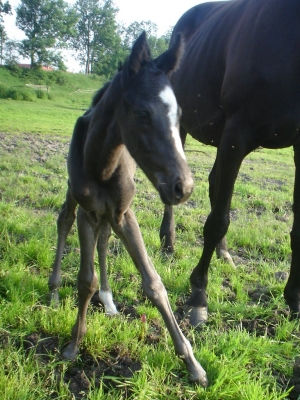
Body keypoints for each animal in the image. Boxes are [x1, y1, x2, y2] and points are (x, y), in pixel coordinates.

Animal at [48, 32, 207, 386]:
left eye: (179, 115)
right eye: (143, 114)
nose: (184, 187)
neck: (103, 165)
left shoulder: (123, 213)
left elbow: (154, 285)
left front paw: (193, 364)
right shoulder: (88, 212)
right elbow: (85, 279)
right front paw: (73, 345)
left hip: (111, 215)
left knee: (105, 239)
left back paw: (108, 301)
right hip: (74, 196)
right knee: (64, 220)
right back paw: (53, 291)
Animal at [159, 0, 300, 326]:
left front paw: (294, 300)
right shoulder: (238, 130)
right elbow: (217, 221)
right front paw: (198, 297)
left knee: (216, 186)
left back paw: (224, 254)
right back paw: (168, 242)